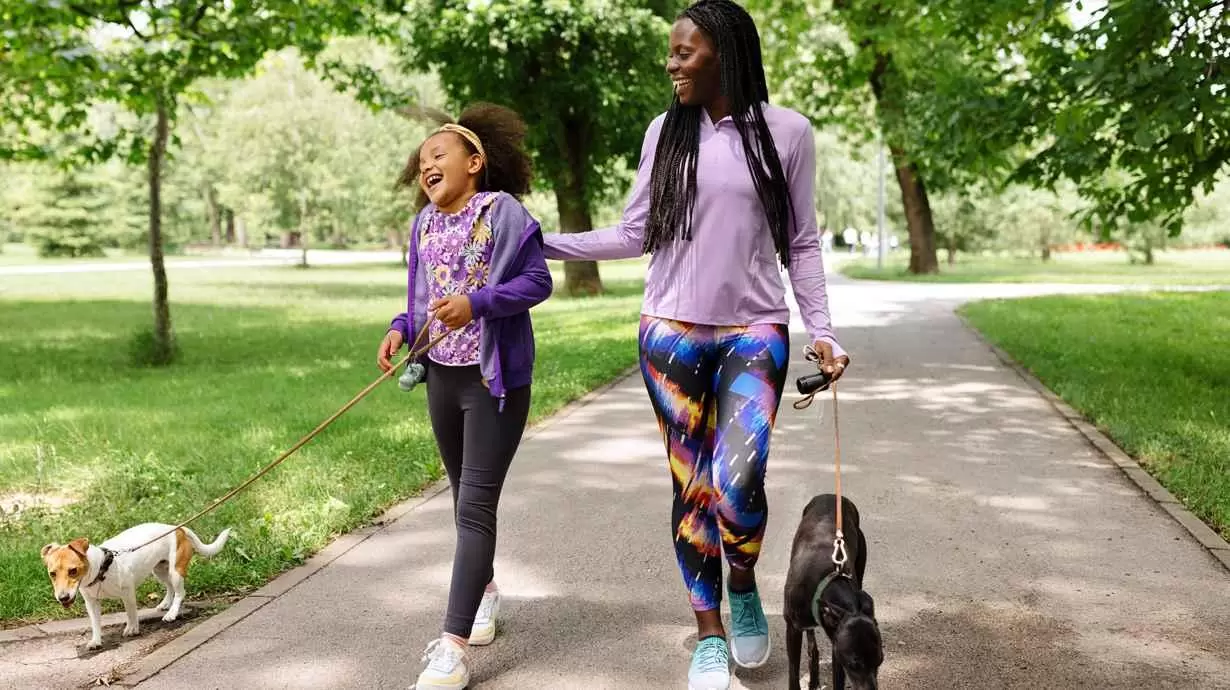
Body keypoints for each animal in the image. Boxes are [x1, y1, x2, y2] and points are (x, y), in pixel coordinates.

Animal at [40, 523, 231, 649]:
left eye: (73, 571)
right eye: (52, 574)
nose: (62, 598)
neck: (101, 568)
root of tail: (177, 528)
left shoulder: (128, 593)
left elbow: (131, 613)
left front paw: (132, 629)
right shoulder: (91, 603)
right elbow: (95, 623)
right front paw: (96, 640)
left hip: (175, 570)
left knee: (180, 592)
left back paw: (172, 613)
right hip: (159, 570)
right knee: (169, 587)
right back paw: (165, 604)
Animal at [782, 491, 880, 688]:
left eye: (880, 660)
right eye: (854, 664)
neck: (826, 582)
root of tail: (830, 494)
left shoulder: (837, 644)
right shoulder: (792, 628)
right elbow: (793, 674)